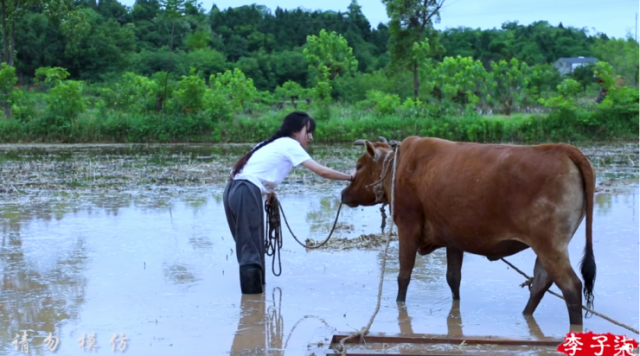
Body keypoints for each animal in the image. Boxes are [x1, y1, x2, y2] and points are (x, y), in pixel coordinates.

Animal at [342, 136, 596, 326]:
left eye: (359, 165)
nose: (343, 193)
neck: (398, 166)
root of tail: (563, 149)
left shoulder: (408, 227)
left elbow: (404, 275)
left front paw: (399, 303)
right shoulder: (453, 238)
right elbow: (453, 278)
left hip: (549, 245)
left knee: (571, 287)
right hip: (547, 248)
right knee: (541, 284)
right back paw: (525, 315)